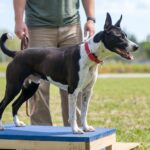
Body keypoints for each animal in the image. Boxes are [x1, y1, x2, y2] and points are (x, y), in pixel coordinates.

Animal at [0, 13, 138, 134]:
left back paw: (17, 123)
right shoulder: (73, 90)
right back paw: (1, 126)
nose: (136, 46)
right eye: (119, 36)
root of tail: (17, 54)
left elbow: (84, 112)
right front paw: (76, 130)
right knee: (2, 104)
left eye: (126, 35)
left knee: (14, 105)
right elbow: (72, 114)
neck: (89, 54)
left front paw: (86, 128)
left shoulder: (87, 91)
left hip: (31, 87)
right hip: (14, 86)